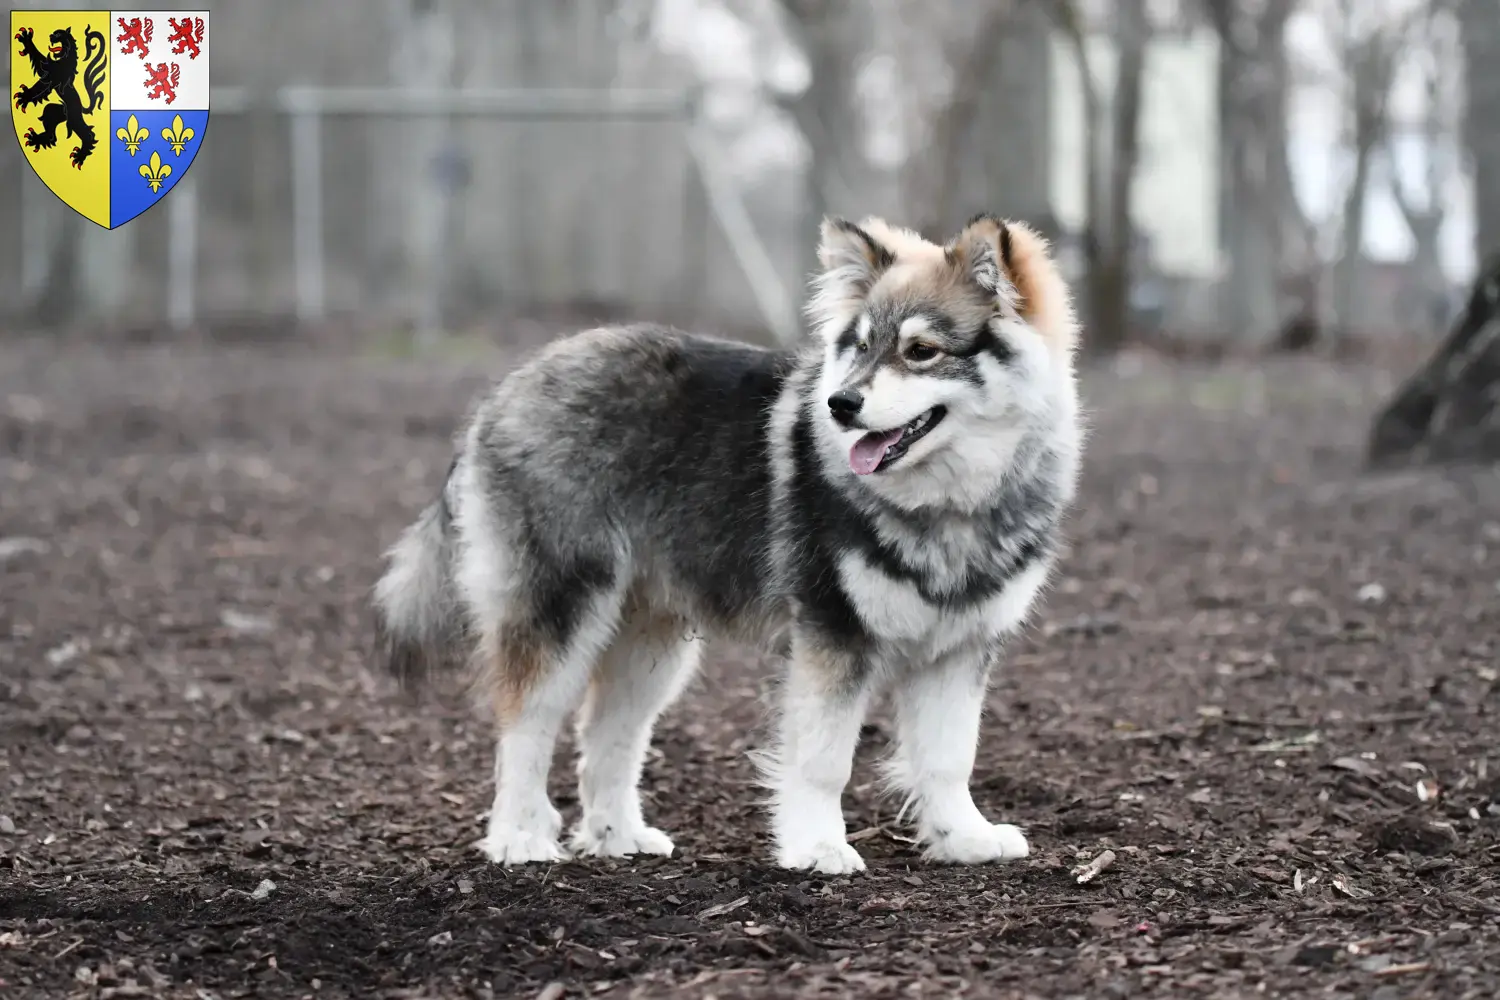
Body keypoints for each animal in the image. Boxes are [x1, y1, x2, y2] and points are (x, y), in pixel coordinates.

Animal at [13, 24, 108, 169]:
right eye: (53, 33)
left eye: (58, 34)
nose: (50, 36)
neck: (65, 59)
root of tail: (82, 108)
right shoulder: (48, 72)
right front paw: (26, 39)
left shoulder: (52, 76)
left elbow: (38, 86)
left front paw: (24, 96)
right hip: (54, 111)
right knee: (51, 133)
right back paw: (36, 139)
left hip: (74, 119)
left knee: (88, 134)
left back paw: (79, 156)